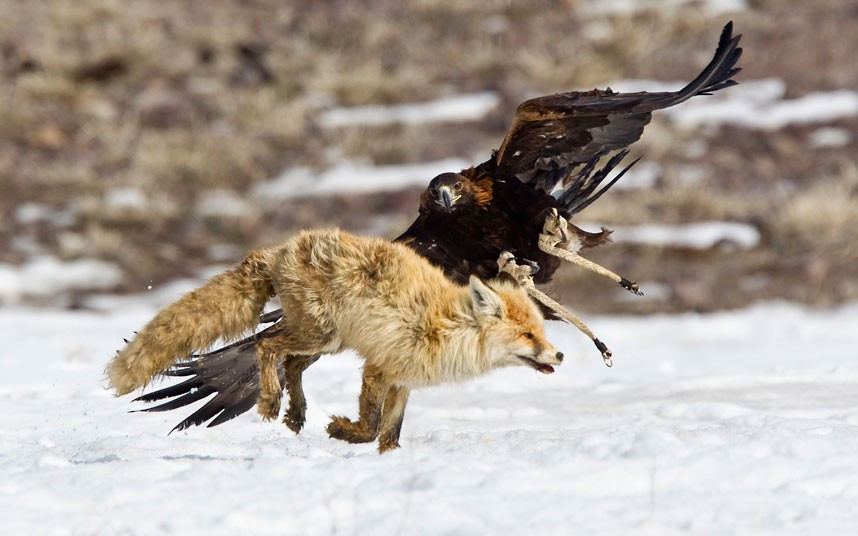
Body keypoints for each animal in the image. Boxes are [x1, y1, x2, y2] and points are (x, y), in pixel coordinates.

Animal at [107, 229, 563, 453]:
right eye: (527, 334)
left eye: (541, 331)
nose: (559, 353)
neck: (443, 327)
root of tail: (279, 250)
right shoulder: (379, 368)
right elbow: (370, 426)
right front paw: (342, 431)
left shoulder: (403, 381)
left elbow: (389, 435)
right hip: (320, 334)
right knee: (266, 347)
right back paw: (272, 402)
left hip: (327, 342)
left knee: (289, 362)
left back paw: (295, 413)